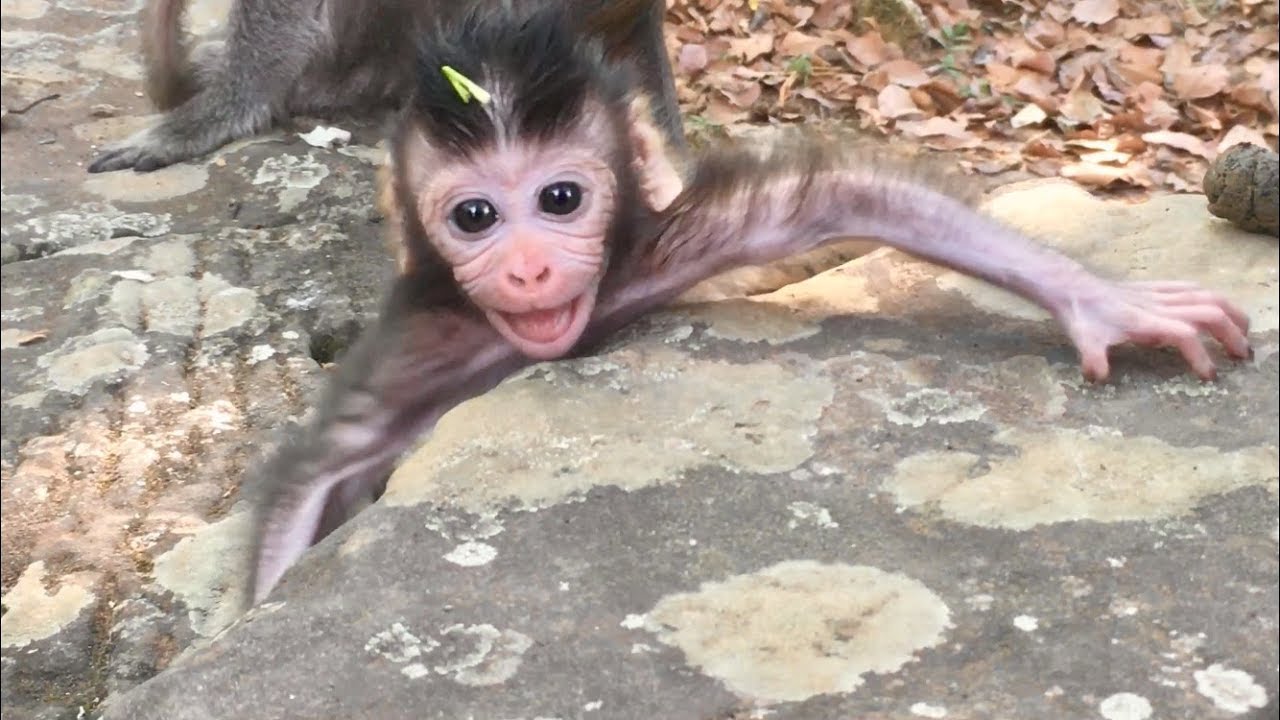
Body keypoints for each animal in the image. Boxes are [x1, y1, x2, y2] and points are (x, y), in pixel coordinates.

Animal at [247, 4, 1252, 605]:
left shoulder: (659, 250)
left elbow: (833, 202)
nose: (528, 271)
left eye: (559, 200)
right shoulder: (417, 350)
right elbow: (307, 486)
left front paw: (1104, 302)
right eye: (475, 216)